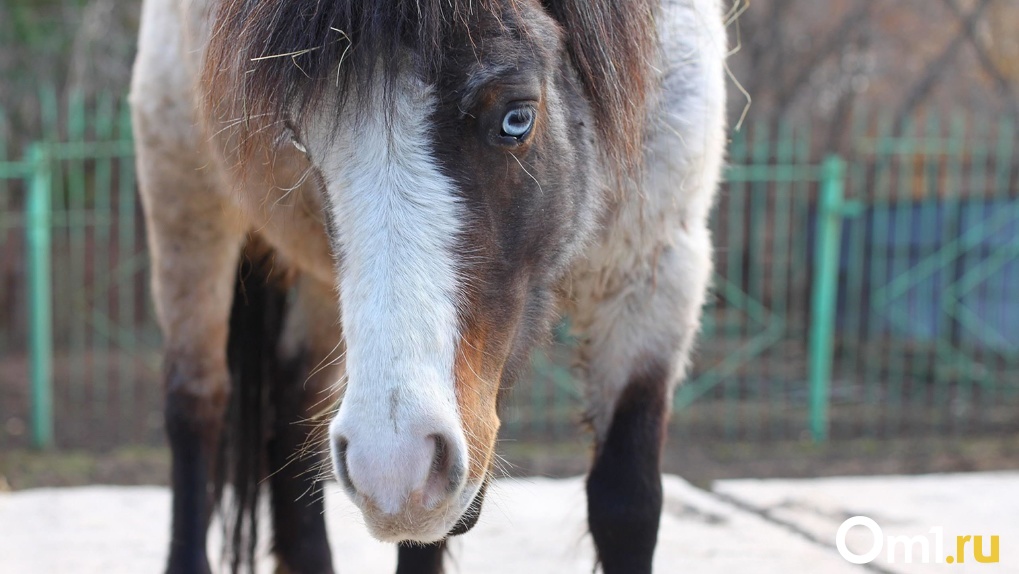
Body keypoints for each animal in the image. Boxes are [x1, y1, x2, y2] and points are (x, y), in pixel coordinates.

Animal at [131, 0, 729, 570]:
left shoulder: (655, 279)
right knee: (196, 404)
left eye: (517, 118)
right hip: (184, 197)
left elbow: (626, 505)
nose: (391, 467)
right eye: (301, 141)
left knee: (293, 404)